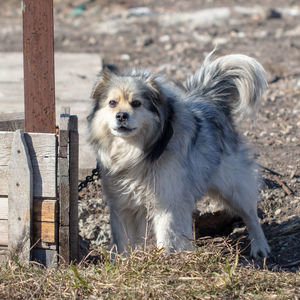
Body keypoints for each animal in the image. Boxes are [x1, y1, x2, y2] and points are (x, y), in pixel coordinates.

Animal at [88, 51, 270, 258]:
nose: (121, 116)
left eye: (136, 103)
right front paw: (124, 261)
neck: (135, 152)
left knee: (250, 214)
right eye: (112, 103)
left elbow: (168, 235)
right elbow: (123, 240)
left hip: (232, 185)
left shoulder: (168, 201)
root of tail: (209, 99)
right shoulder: (122, 206)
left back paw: (260, 246)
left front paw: (167, 258)